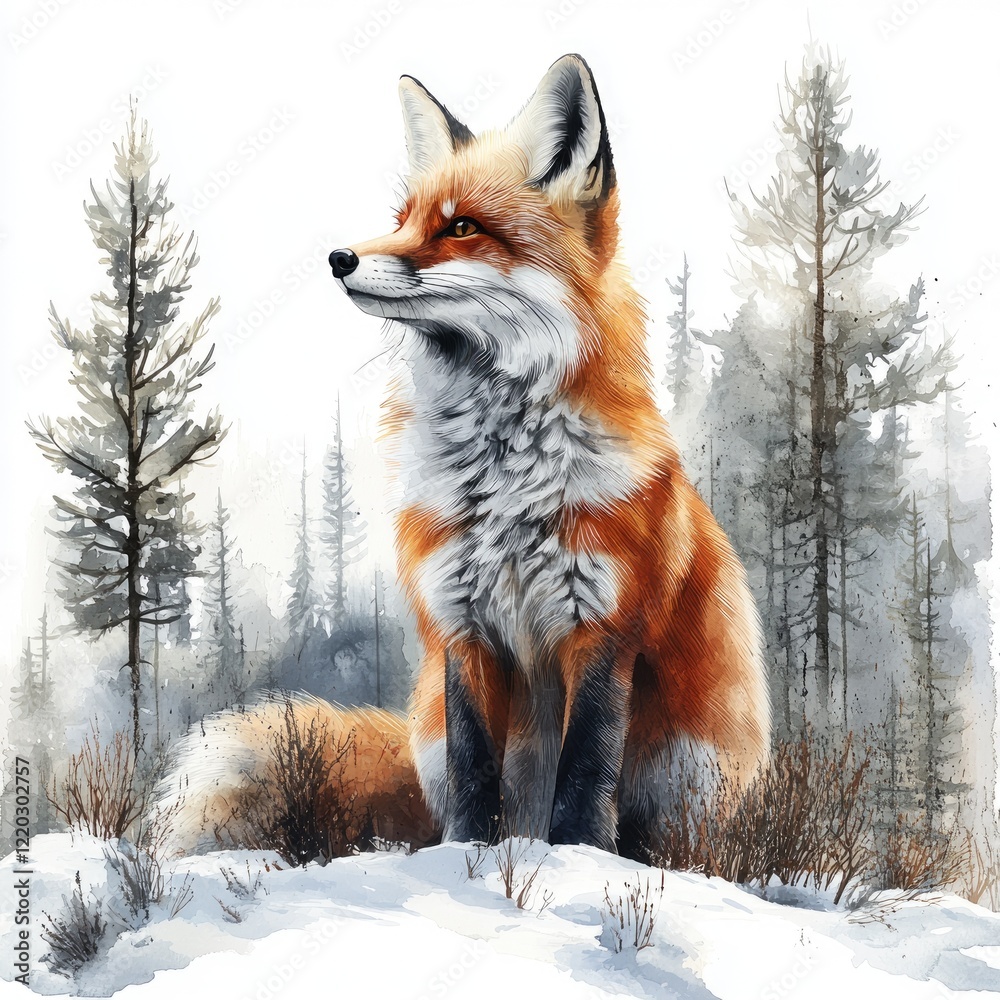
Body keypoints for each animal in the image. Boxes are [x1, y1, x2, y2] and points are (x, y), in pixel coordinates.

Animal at [159, 54, 769, 862]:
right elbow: (474, 766)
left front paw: (577, 860)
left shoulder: (603, 628)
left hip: (689, 774)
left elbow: (585, 772)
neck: (503, 483)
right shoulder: (461, 621)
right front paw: (465, 857)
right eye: (403, 220)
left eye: (462, 227)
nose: (339, 257)